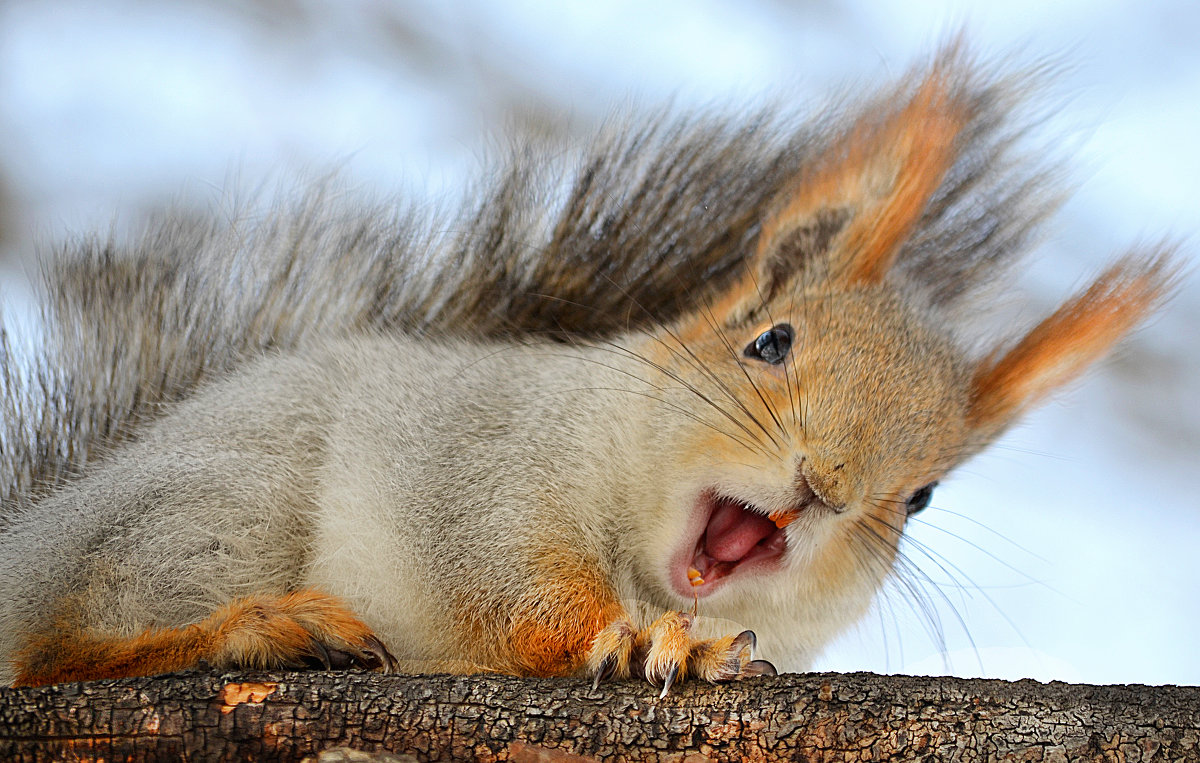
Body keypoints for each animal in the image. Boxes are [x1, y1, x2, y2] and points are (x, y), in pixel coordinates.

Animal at [0, 47, 1180, 691]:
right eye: (770, 341)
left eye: (923, 497)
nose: (825, 485)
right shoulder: (475, 451)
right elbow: (506, 576)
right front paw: (645, 638)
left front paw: (691, 645)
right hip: (210, 506)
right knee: (52, 649)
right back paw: (253, 633)